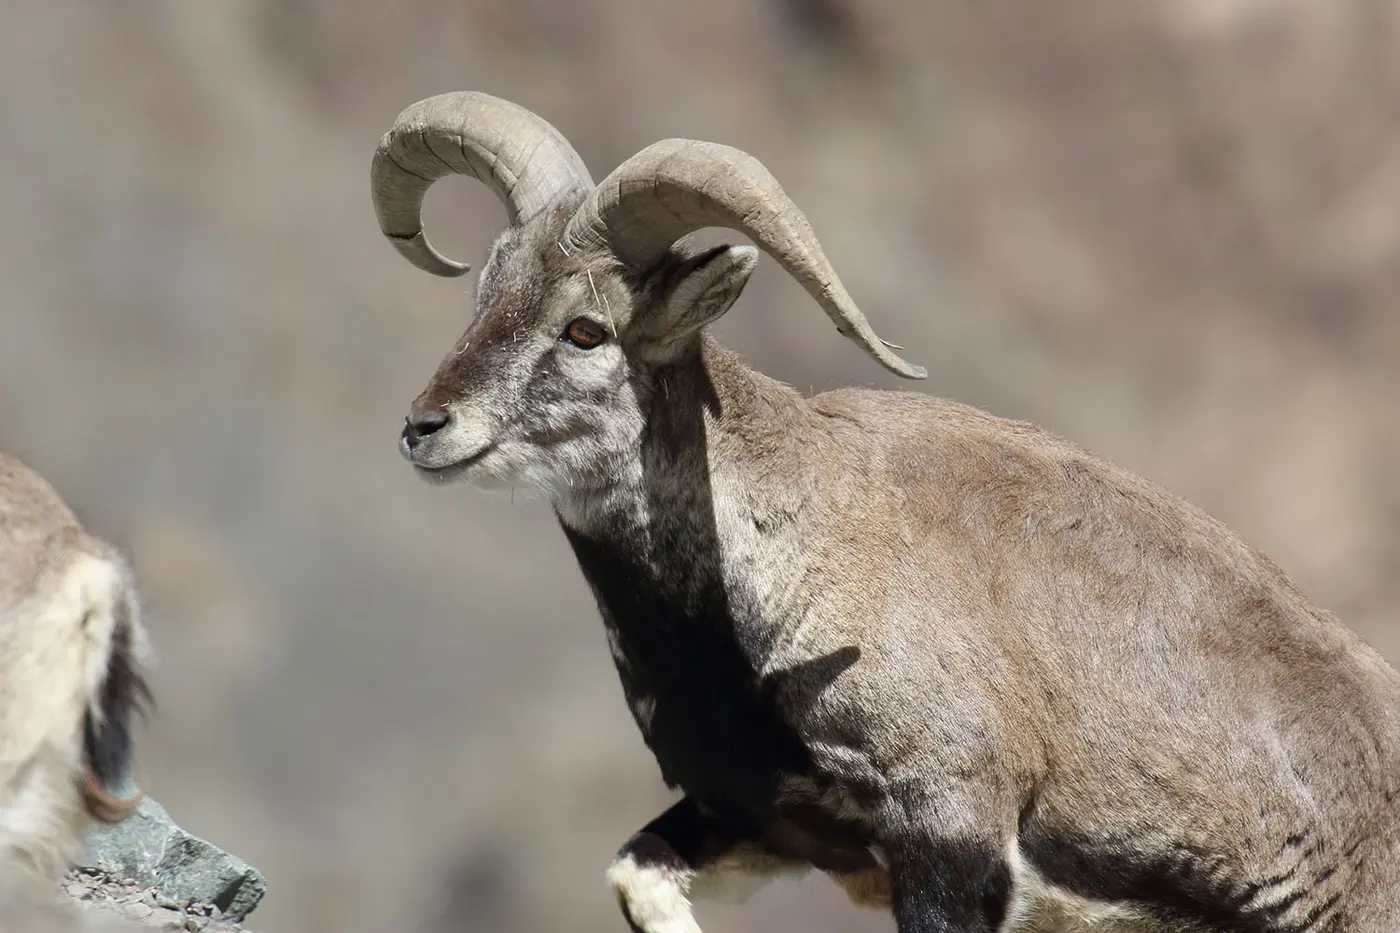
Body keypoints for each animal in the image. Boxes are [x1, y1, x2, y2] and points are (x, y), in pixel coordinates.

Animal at [370, 90, 1400, 933]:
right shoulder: (767, 821)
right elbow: (637, 872)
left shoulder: (949, 830)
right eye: (484, 296)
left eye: (587, 328)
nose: (425, 426)